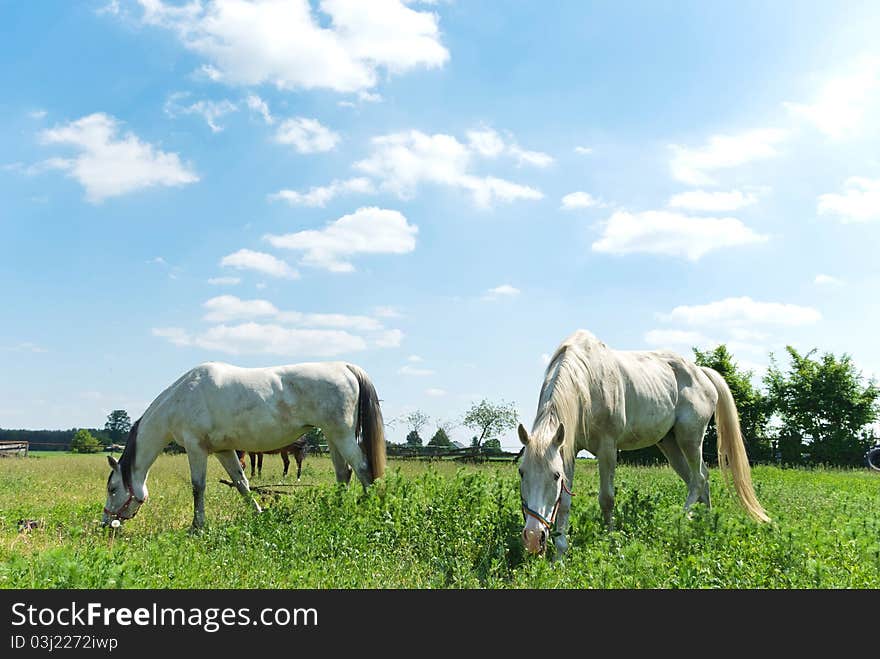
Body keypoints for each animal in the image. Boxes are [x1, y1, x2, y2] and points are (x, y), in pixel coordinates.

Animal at [102, 360, 384, 532]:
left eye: (113, 488)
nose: (106, 523)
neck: (181, 399)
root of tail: (346, 368)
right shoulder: (223, 451)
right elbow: (242, 484)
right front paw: (259, 513)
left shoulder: (196, 449)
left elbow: (197, 487)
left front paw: (197, 526)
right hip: (333, 437)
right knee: (343, 473)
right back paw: (336, 510)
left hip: (341, 434)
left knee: (362, 468)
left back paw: (371, 509)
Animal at [520, 330, 768, 556]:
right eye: (522, 473)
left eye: (554, 476)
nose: (533, 537)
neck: (587, 383)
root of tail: (702, 373)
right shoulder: (568, 449)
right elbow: (564, 502)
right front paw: (560, 554)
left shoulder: (608, 448)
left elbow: (607, 499)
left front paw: (611, 541)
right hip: (670, 445)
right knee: (701, 478)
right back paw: (706, 523)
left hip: (690, 439)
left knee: (698, 479)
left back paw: (681, 521)